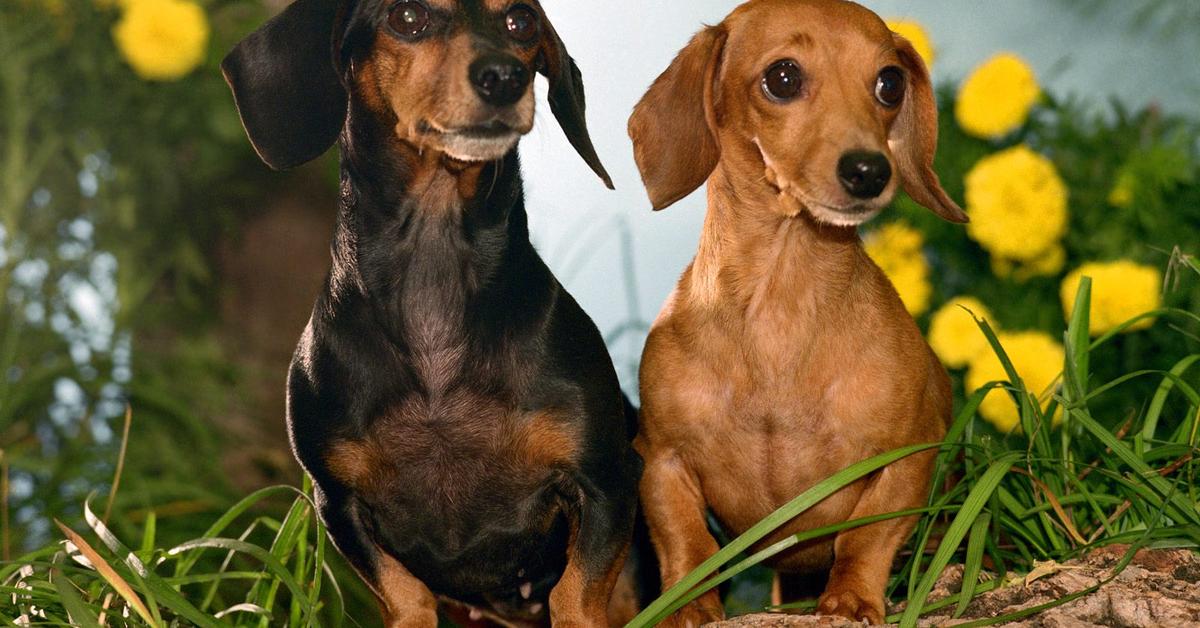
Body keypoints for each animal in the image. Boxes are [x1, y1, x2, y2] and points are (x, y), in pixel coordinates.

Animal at [220, 2, 643, 624]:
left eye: (521, 22)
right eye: (407, 16)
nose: (504, 77)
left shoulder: (606, 480)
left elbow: (578, 592)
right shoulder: (338, 503)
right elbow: (407, 595)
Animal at [624, 0, 969, 624]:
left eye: (890, 83)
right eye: (782, 77)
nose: (869, 171)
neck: (778, 313)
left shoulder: (909, 457)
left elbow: (865, 537)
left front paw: (852, 597)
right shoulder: (660, 460)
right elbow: (687, 541)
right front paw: (689, 605)